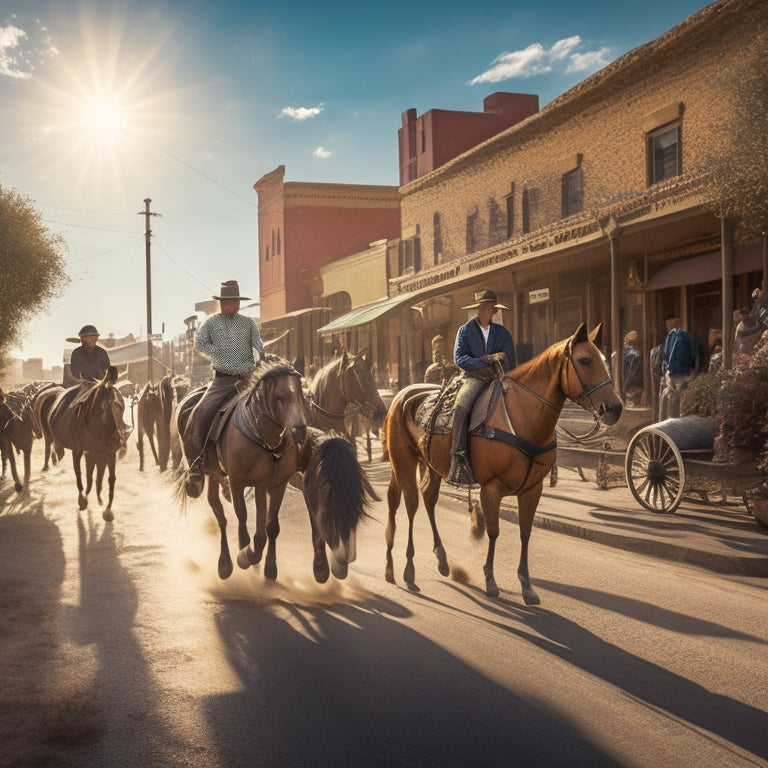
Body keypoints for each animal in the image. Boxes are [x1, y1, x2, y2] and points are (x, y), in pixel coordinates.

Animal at [47, 366, 126, 520]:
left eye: (121, 406)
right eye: (103, 406)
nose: (118, 439)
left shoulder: (107, 453)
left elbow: (109, 478)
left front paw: (107, 509)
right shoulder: (79, 451)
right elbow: (80, 475)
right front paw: (82, 500)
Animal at [175, 360, 378, 584]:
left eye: (299, 396)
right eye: (358, 377)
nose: (380, 411)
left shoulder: (282, 483)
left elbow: (274, 525)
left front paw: (286, 568)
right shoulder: (245, 482)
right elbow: (246, 520)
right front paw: (247, 556)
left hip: (222, 475)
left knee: (220, 507)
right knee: (220, 513)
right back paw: (226, 564)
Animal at [384, 320, 624, 604]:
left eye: (604, 360)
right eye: (585, 360)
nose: (615, 409)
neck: (522, 418)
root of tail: (404, 393)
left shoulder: (532, 490)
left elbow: (525, 531)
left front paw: (527, 586)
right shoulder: (491, 489)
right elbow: (493, 531)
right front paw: (490, 581)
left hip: (431, 465)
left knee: (428, 499)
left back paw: (441, 561)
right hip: (403, 461)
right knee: (409, 503)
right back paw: (404, 569)